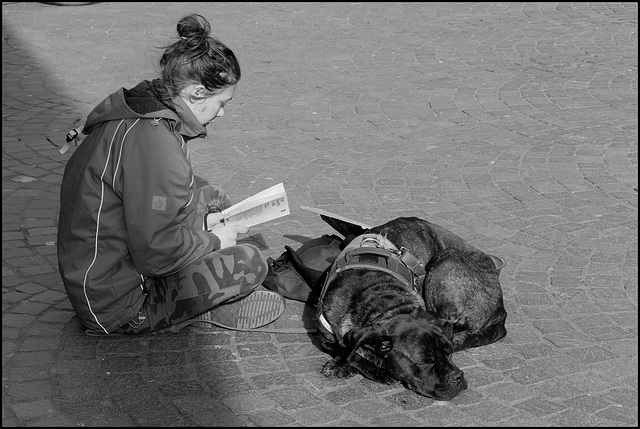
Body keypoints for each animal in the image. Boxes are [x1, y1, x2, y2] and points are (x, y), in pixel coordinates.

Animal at [284, 216, 504, 400]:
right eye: (425, 361)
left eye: (449, 352)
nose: (458, 376)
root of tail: (502, 314)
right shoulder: (326, 337)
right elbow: (350, 351)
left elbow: (353, 352)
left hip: (446, 258)